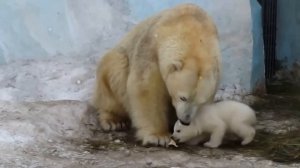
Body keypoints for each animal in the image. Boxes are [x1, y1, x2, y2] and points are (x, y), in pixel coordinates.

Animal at [91, 3, 220, 146]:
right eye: (183, 98)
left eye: (201, 102)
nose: (185, 120)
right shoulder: (151, 49)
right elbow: (147, 88)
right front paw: (159, 136)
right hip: (116, 63)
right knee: (117, 70)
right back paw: (115, 120)